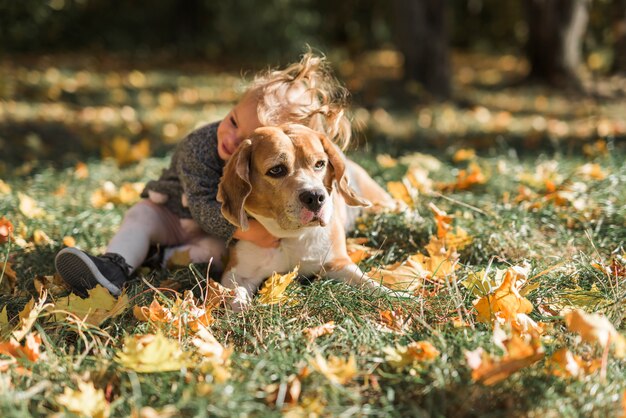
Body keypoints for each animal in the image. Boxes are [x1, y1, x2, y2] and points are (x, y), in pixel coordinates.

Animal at [217, 124, 394, 310]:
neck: (291, 236)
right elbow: (236, 294)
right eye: (276, 170)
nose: (315, 197)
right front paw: (241, 308)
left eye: (320, 164)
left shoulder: (338, 263)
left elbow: (371, 284)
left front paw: (398, 296)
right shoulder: (237, 274)